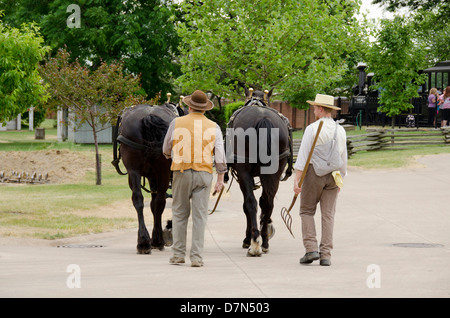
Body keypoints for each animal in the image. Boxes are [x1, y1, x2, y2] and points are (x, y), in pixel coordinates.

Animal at [111, 100, 184, 255]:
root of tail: (148, 117)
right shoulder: (155, 177)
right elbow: (155, 205)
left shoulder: (151, 176)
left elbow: (151, 204)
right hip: (162, 173)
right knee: (160, 201)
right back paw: (155, 241)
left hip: (134, 171)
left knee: (138, 199)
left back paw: (143, 242)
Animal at [227, 87, 294, 256]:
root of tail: (263, 118)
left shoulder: (244, 175)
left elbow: (247, 206)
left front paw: (247, 238)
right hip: (275, 171)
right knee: (267, 202)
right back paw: (264, 240)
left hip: (244, 171)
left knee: (251, 202)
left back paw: (254, 241)